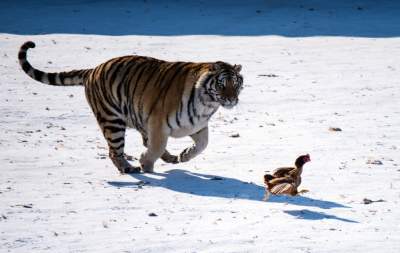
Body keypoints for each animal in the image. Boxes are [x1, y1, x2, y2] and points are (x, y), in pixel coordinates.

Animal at [18, 42, 244, 174]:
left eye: (236, 83)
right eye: (222, 84)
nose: (232, 99)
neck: (207, 104)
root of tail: (93, 69)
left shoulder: (196, 125)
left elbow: (203, 144)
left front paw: (184, 155)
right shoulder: (158, 123)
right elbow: (156, 146)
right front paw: (146, 164)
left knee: (141, 142)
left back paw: (170, 158)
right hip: (112, 121)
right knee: (115, 151)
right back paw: (129, 168)